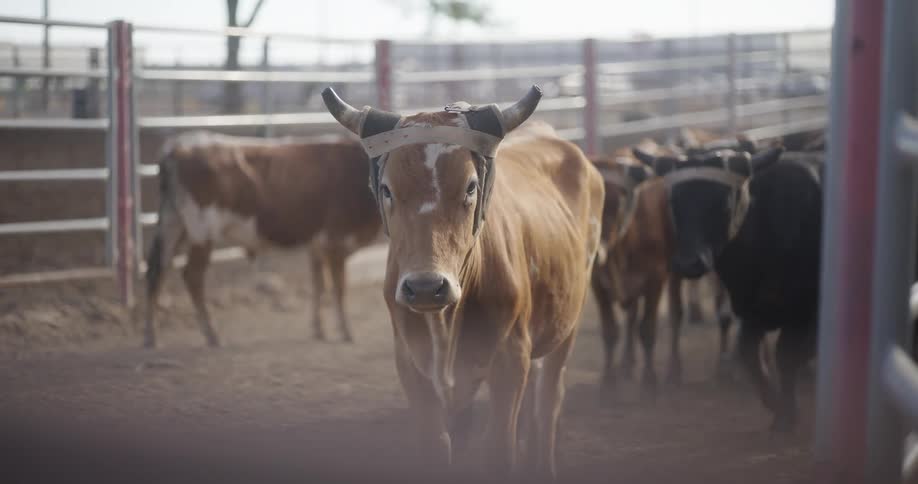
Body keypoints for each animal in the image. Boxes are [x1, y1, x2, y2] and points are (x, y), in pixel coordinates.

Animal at [143, 131, 382, 348]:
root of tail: (178, 145)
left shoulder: (317, 246)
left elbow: (319, 286)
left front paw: (319, 329)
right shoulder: (336, 242)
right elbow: (338, 289)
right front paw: (346, 332)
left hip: (172, 224)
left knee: (157, 271)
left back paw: (151, 337)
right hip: (202, 230)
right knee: (192, 276)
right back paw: (211, 334)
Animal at [321, 85, 604, 478]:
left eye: (471, 187)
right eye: (387, 189)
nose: (426, 287)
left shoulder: (511, 360)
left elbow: (498, 449)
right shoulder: (412, 366)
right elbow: (438, 446)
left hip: (567, 326)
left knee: (548, 403)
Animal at [638, 145, 820, 432]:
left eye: (722, 203)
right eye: (673, 203)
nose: (688, 263)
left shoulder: (804, 312)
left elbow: (787, 356)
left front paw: (786, 416)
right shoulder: (752, 311)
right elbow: (748, 353)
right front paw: (774, 401)